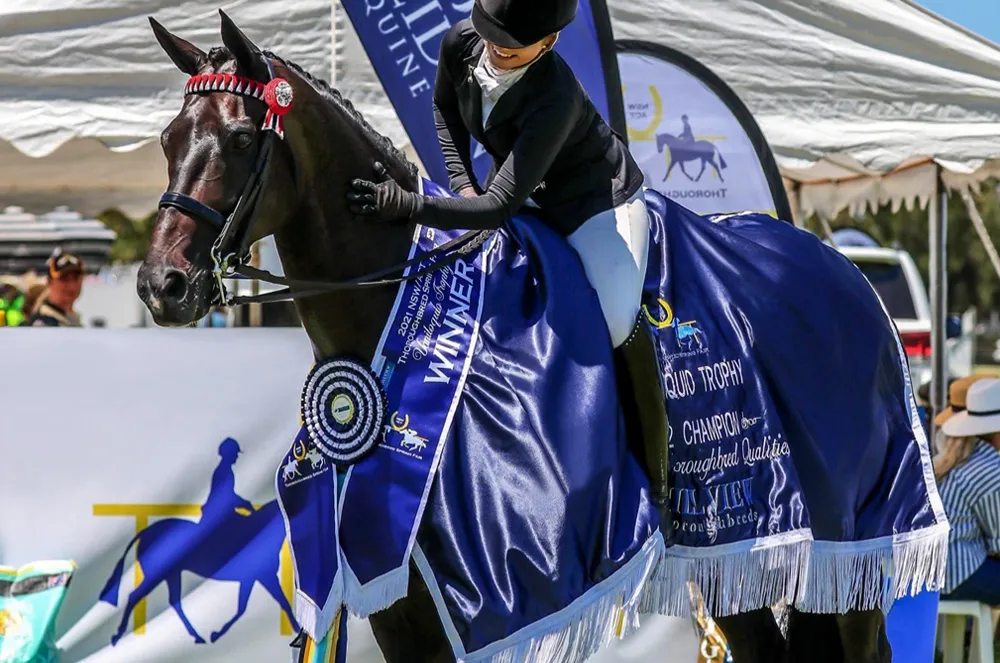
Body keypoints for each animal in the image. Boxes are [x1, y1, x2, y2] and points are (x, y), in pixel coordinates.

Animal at [139, 14, 892, 663]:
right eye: (170, 140)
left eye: (242, 139)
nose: (161, 285)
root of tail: (845, 273)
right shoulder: (398, 611)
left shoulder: (510, 592)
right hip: (740, 556)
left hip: (849, 543)